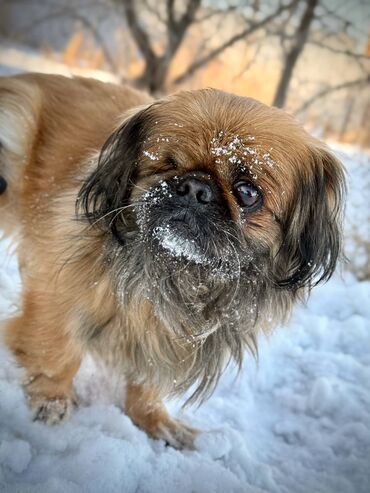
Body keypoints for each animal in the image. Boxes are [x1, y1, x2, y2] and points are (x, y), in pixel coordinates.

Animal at [0, 73, 346, 446]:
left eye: (247, 192)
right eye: (169, 164)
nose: (195, 189)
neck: (180, 269)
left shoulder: (167, 336)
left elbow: (147, 385)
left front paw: (155, 422)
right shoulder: (58, 291)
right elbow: (57, 351)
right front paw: (51, 400)